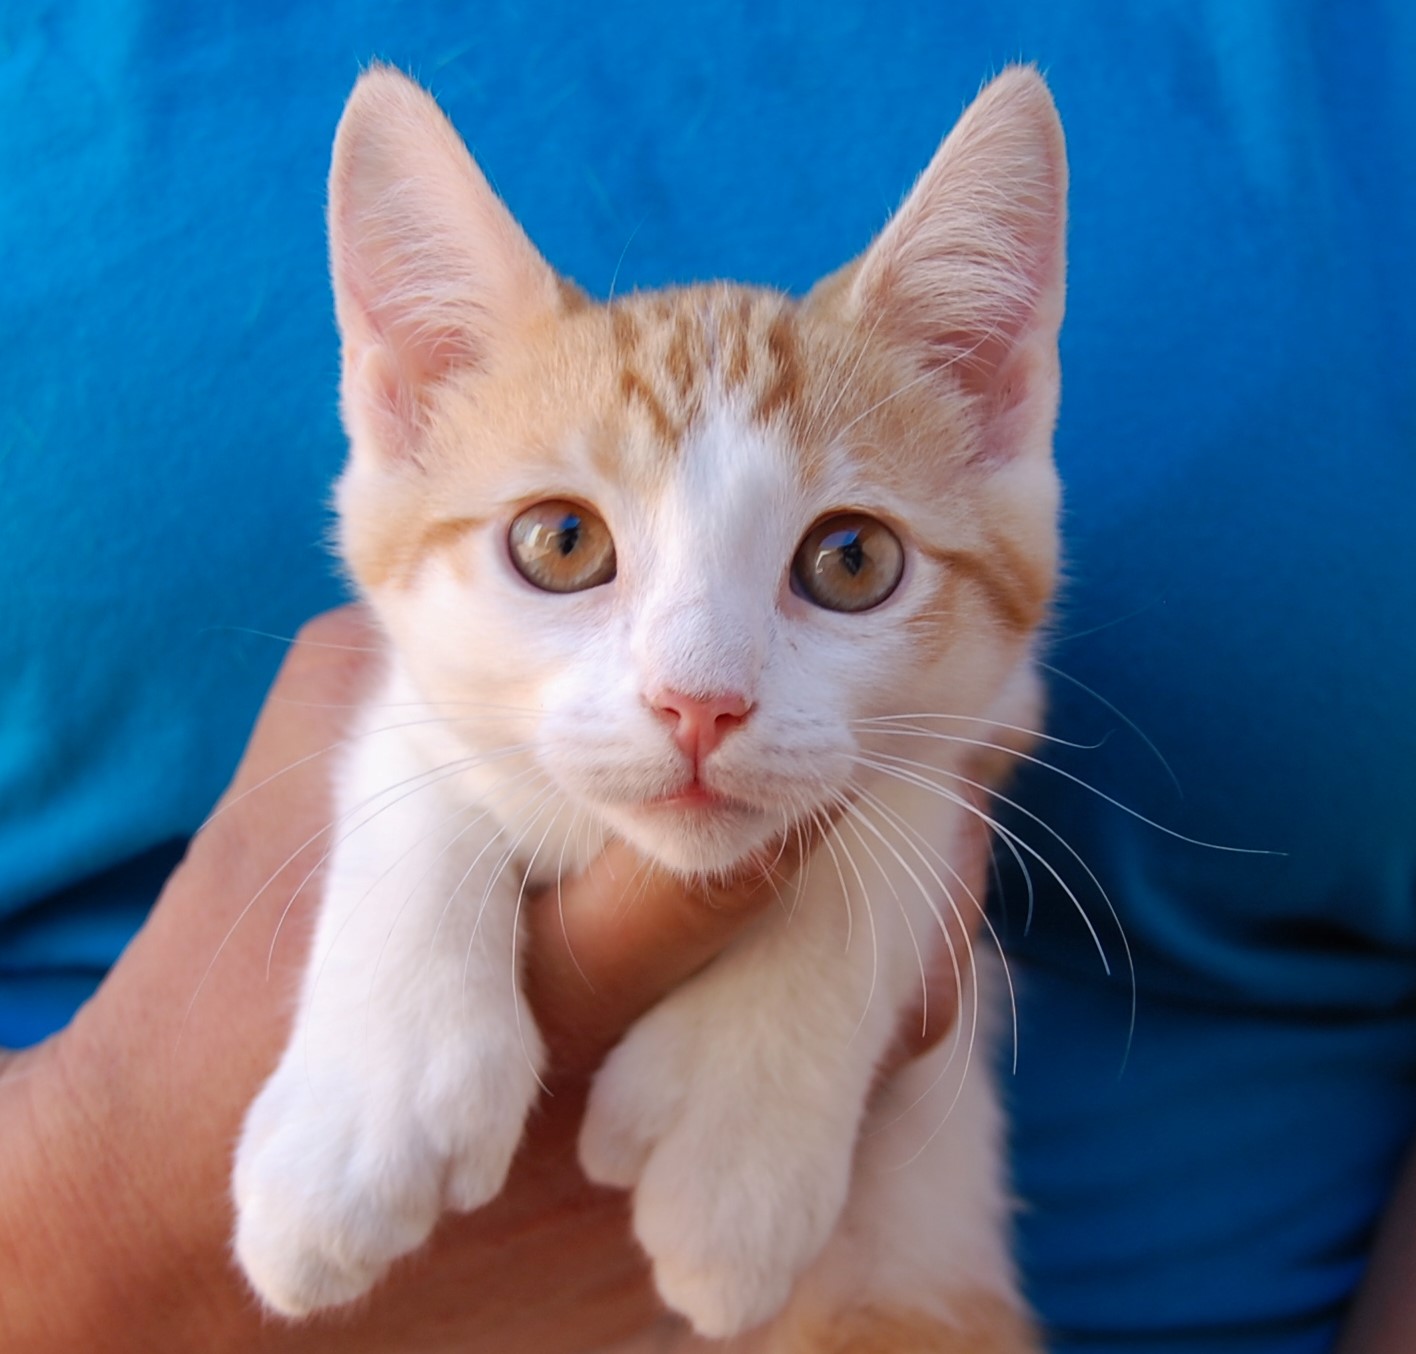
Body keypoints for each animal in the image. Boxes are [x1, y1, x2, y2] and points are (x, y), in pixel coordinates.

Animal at [232, 63, 1064, 1354]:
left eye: (853, 562)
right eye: (561, 543)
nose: (699, 703)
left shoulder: (1006, 708)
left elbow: (893, 815)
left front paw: (739, 1135)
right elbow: (411, 753)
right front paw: (368, 1106)